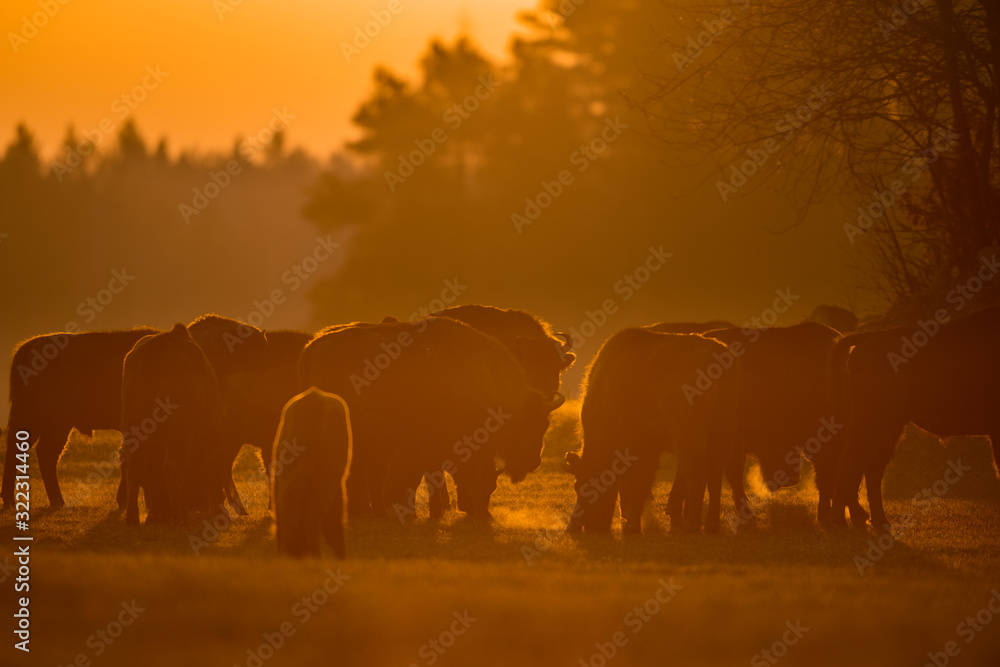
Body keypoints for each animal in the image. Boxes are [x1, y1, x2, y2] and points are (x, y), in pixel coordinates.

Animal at [2, 326, 160, 510]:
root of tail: (29, 346)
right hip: (57, 423)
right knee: (45, 453)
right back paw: (58, 501)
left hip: (32, 418)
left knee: (17, 448)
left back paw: (10, 500)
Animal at [121, 324, 226, 526]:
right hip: (179, 428)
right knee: (172, 465)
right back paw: (180, 516)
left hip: (134, 421)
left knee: (135, 464)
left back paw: (133, 517)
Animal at [566, 329, 739, 534]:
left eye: (579, 486)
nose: (574, 527)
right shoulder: (648, 447)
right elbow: (639, 484)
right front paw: (632, 524)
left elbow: (637, 483)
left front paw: (632, 525)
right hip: (721, 431)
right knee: (715, 474)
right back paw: (711, 525)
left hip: (688, 436)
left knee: (696, 473)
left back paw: (692, 526)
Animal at [830, 306, 1000, 531]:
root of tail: (870, 337)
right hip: (877, 421)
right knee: (852, 461)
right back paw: (841, 522)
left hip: (889, 426)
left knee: (871, 466)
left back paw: (877, 521)